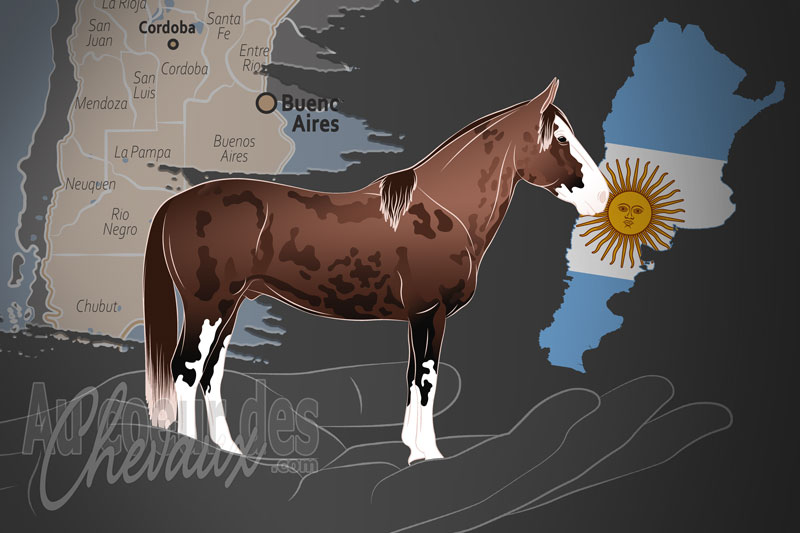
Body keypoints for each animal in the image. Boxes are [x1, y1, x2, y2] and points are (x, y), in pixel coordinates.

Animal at [143, 78, 609, 463]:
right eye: (561, 137)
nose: (604, 199)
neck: (446, 210)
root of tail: (172, 206)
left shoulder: (417, 316)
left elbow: (411, 379)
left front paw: (413, 448)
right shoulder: (430, 312)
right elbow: (427, 380)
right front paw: (428, 456)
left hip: (231, 306)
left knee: (211, 374)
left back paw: (230, 451)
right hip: (208, 305)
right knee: (186, 371)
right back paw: (191, 452)